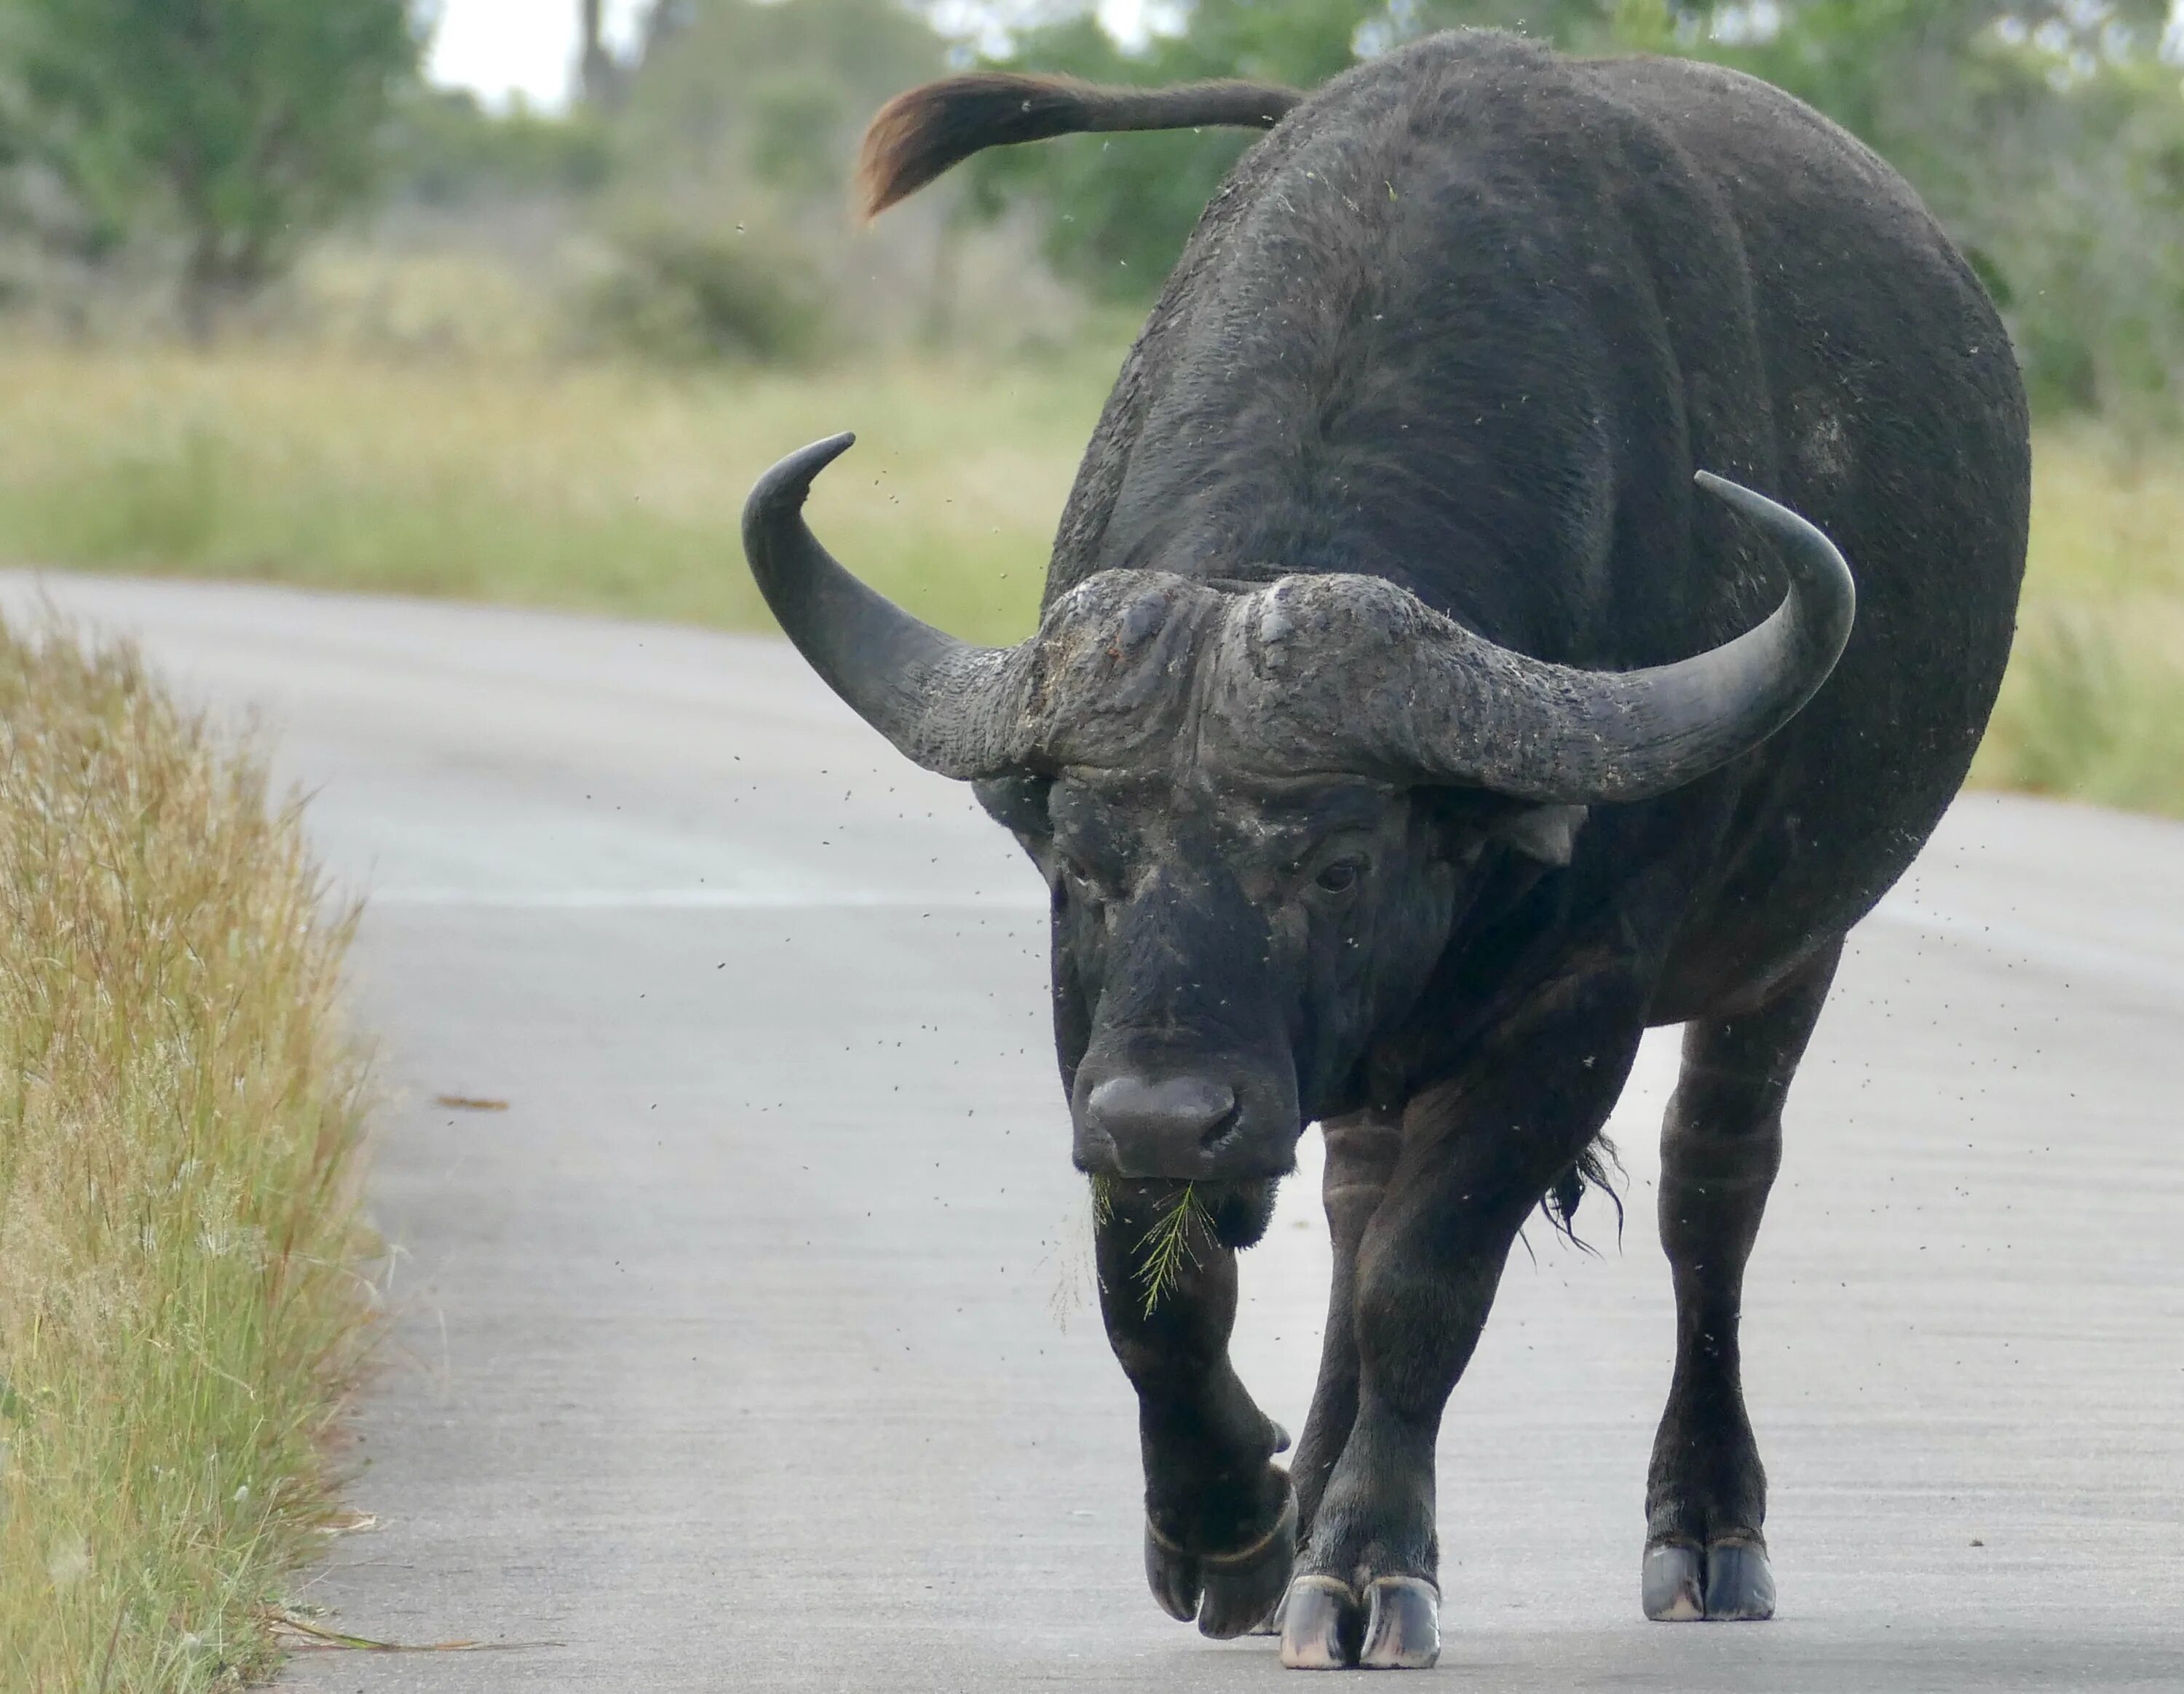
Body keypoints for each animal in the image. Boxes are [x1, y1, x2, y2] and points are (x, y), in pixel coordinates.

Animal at [738, 23, 2027, 1668]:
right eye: (1087, 860)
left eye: (1339, 861)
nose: (1170, 1114)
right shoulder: (1100, 1025)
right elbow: (1157, 1279)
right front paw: (1228, 1522)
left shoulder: (1578, 1010)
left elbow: (1430, 1279)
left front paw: (1362, 1564)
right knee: (1352, 1206)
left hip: (1790, 953)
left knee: (1710, 1190)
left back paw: (1707, 1527)